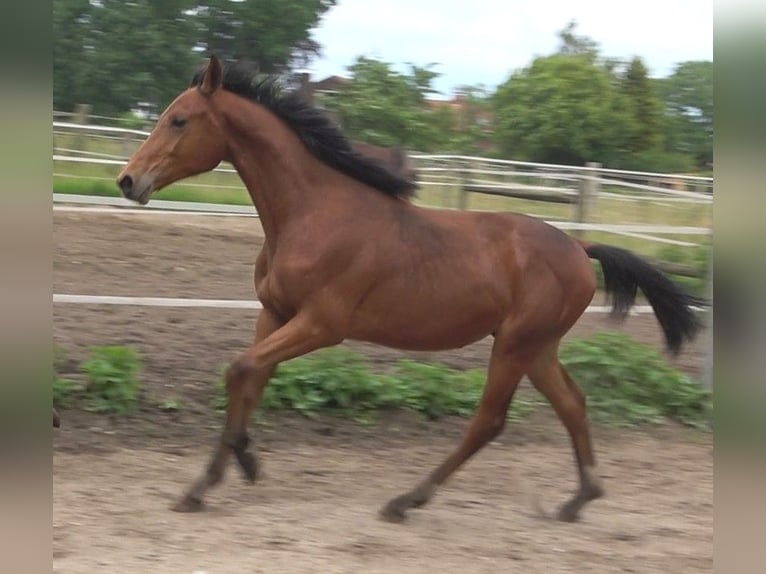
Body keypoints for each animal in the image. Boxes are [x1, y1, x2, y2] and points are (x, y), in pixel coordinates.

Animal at [115, 58, 708, 528]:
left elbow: (240, 370)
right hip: (538, 347)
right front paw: (207, 484)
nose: (127, 181)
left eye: (179, 119)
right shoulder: (275, 313)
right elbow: (249, 378)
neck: (313, 213)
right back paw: (579, 499)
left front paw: (245, 461)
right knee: (573, 404)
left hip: (515, 345)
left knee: (489, 421)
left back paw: (406, 500)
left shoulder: (322, 325)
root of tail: (579, 247)